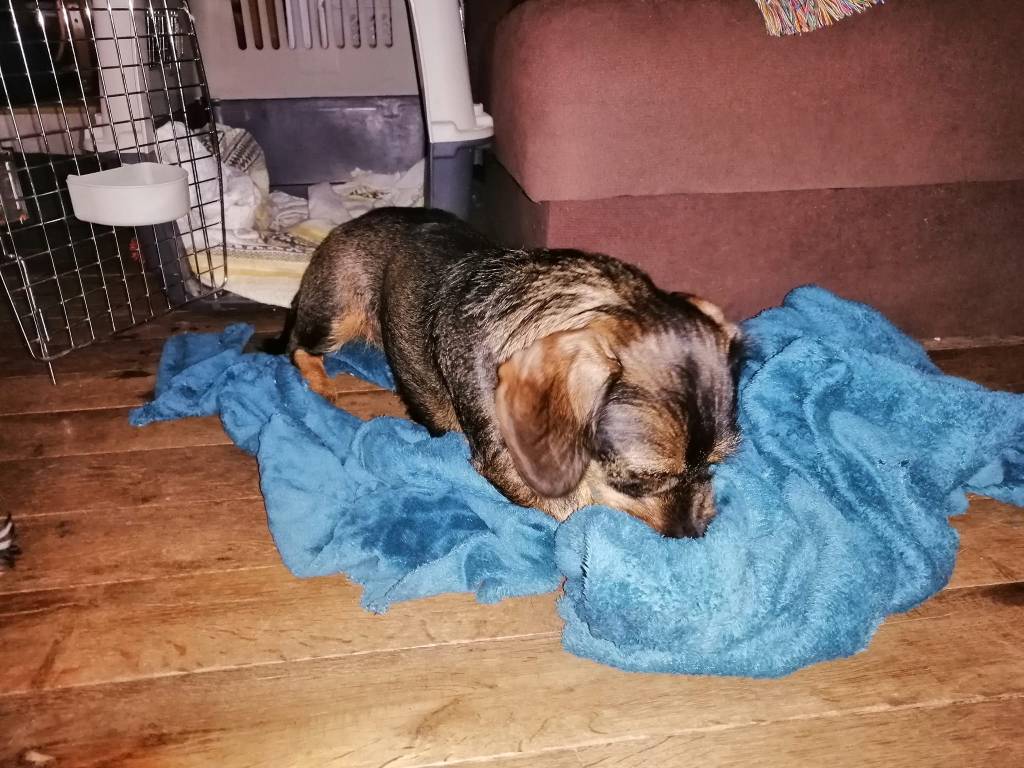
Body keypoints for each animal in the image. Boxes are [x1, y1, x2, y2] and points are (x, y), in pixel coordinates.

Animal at [270, 207, 742, 538]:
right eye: (643, 481)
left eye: (715, 463)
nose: (694, 535)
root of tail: (347, 223)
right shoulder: (508, 464)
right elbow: (577, 505)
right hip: (336, 314)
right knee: (296, 347)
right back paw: (320, 384)